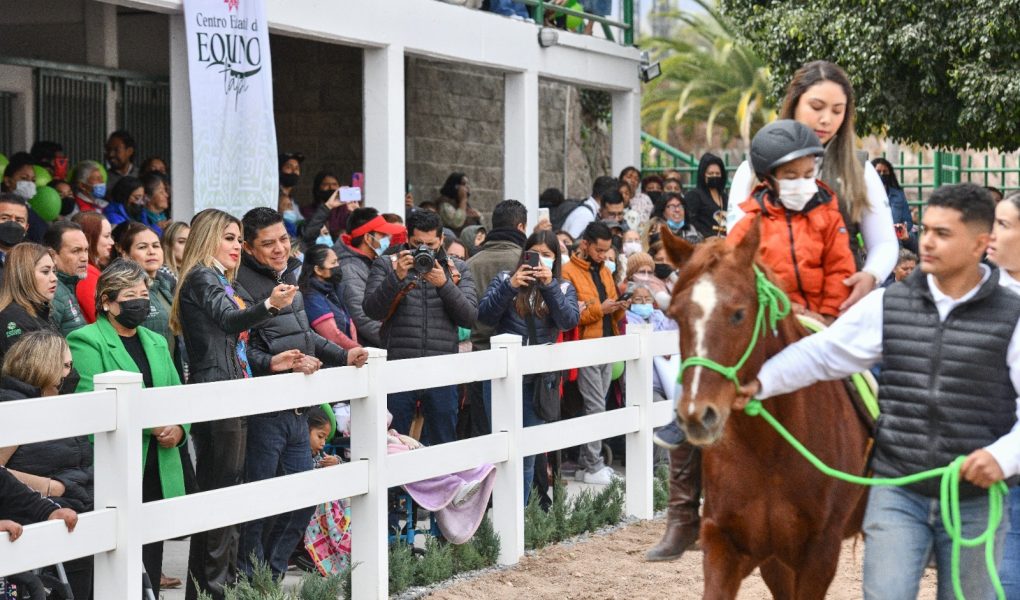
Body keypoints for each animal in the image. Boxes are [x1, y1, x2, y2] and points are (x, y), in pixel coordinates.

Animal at [660, 222, 871, 599]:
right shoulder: (726, 544)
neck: (768, 450)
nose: (697, 414)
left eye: (738, 313)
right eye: (675, 316)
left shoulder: (819, 553)